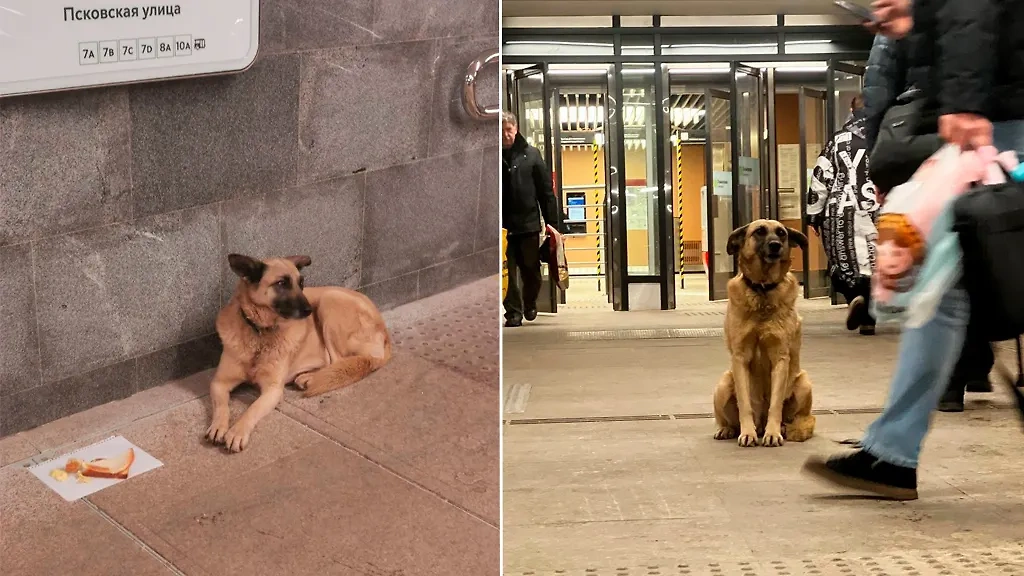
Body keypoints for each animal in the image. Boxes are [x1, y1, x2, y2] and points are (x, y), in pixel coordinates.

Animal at [205, 253, 389, 450]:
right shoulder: (219, 383)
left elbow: (252, 409)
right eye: (281, 283)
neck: (259, 333)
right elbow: (221, 407)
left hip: (329, 300)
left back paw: (309, 378)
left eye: (301, 283)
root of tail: (385, 331)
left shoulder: (273, 390)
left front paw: (237, 432)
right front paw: (218, 426)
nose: (309, 310)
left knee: (339, 361)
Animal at [712, 217, 815, 446]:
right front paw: (747, 433)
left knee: (802, 417)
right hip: (723, 383)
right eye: (759, 231)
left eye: (781, 233)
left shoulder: (780, 358)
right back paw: (728, 429)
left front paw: (773, 433)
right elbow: (744, 404)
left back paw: (784, 428)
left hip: (803, 382)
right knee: (727, 419)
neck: (762, 289)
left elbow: (775, 404)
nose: (775, 245)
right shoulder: (740, 358)